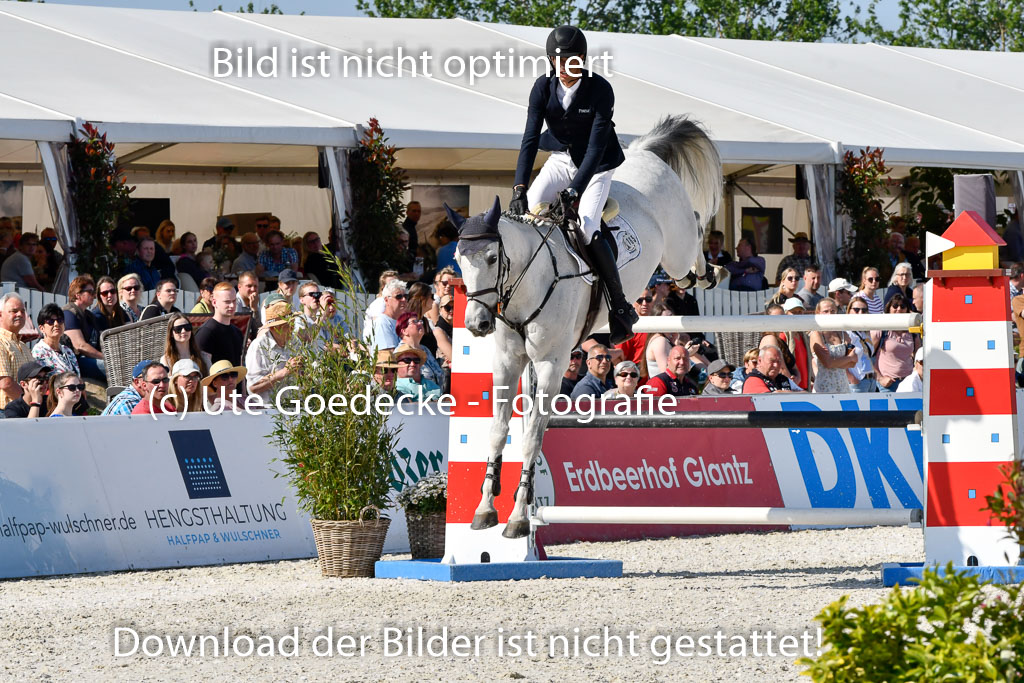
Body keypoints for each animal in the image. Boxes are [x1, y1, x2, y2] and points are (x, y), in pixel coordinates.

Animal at [452, 114, 724, 536]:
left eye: (494, 258)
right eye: (458, 259)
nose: (478, 323)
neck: (529, 280)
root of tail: (643, 151)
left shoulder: (550, 364)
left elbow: (531, 438)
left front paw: (518, 517)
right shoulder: (507, 362)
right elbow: (498, 432)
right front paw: (485, 509)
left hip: (676, 250)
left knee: (692, 236)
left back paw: (710, 272)